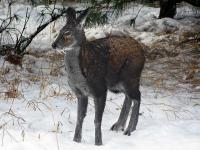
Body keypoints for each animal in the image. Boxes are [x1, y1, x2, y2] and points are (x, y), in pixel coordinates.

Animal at [51, 6, 145, 145]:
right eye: (60, 31)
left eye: (68, 33)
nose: (54, 45)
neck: (80, 77)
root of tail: (142, 50)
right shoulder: (80, 93)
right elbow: (80, 118)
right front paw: (76, 141)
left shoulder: (100, 89)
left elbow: (97, 120)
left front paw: (98, 143)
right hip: (116, 83)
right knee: (129, 96)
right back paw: (118, 126)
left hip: (131, 75)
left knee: (137, 95)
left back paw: (129, 129)